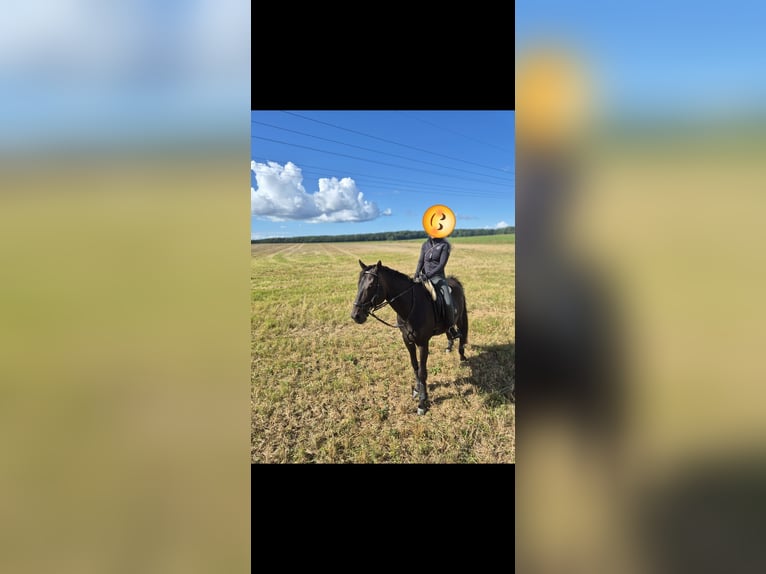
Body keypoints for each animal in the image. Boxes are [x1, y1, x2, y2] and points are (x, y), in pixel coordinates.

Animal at [350, 259, 469, 415]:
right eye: (359, 284)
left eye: (370, 286)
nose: (356, 316)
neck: (411, 307)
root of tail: (454, 280)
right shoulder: (407, 341)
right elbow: (415, 366)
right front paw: (417, 389)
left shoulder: (423, 343)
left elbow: (422, 371)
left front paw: (422, 402)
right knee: (449, 332)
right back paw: (449, 346)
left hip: (459, 318)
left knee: (461, 335)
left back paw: (462, 356)